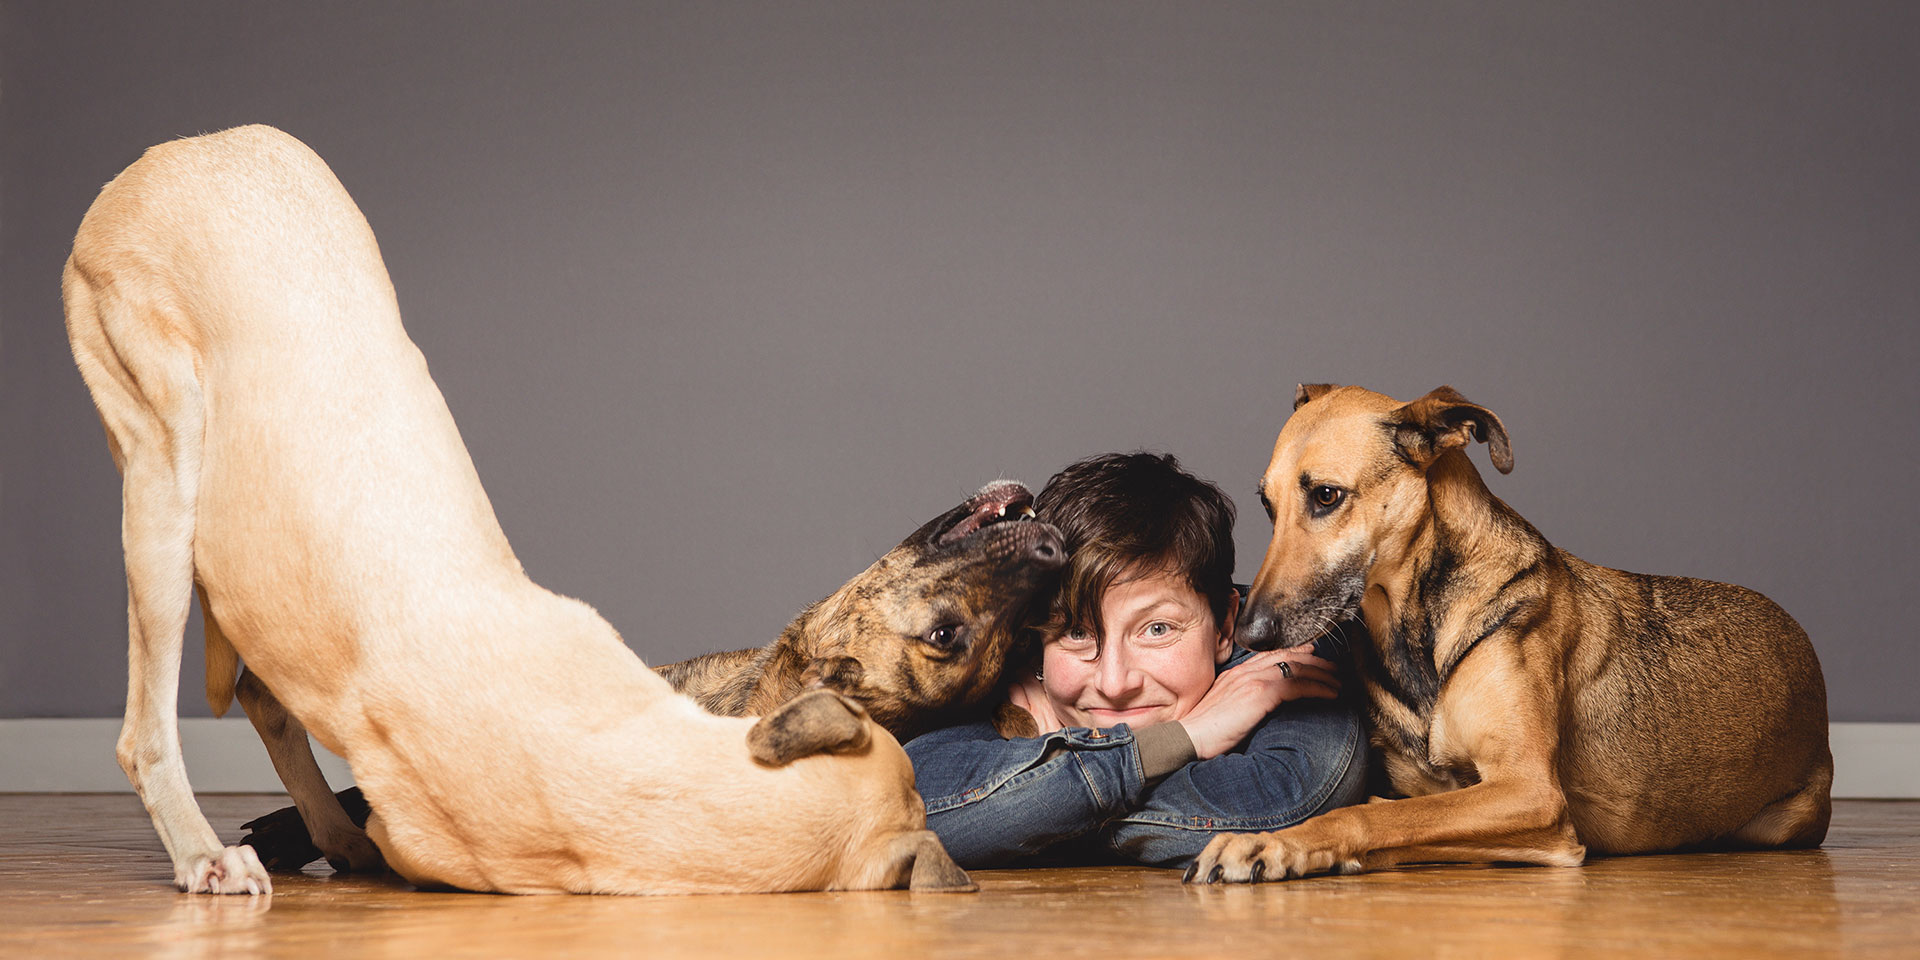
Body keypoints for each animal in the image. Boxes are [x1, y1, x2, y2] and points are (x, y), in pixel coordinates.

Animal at [1182, 382, 1827, 883]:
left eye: (1325, 496)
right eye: (1268, 506)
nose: (1250, 631)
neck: (1415, 628)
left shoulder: (1531, 792)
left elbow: (1371, 812)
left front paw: (1272, 842)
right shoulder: (1447, 797)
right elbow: (1400, 819)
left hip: (1787, 819)